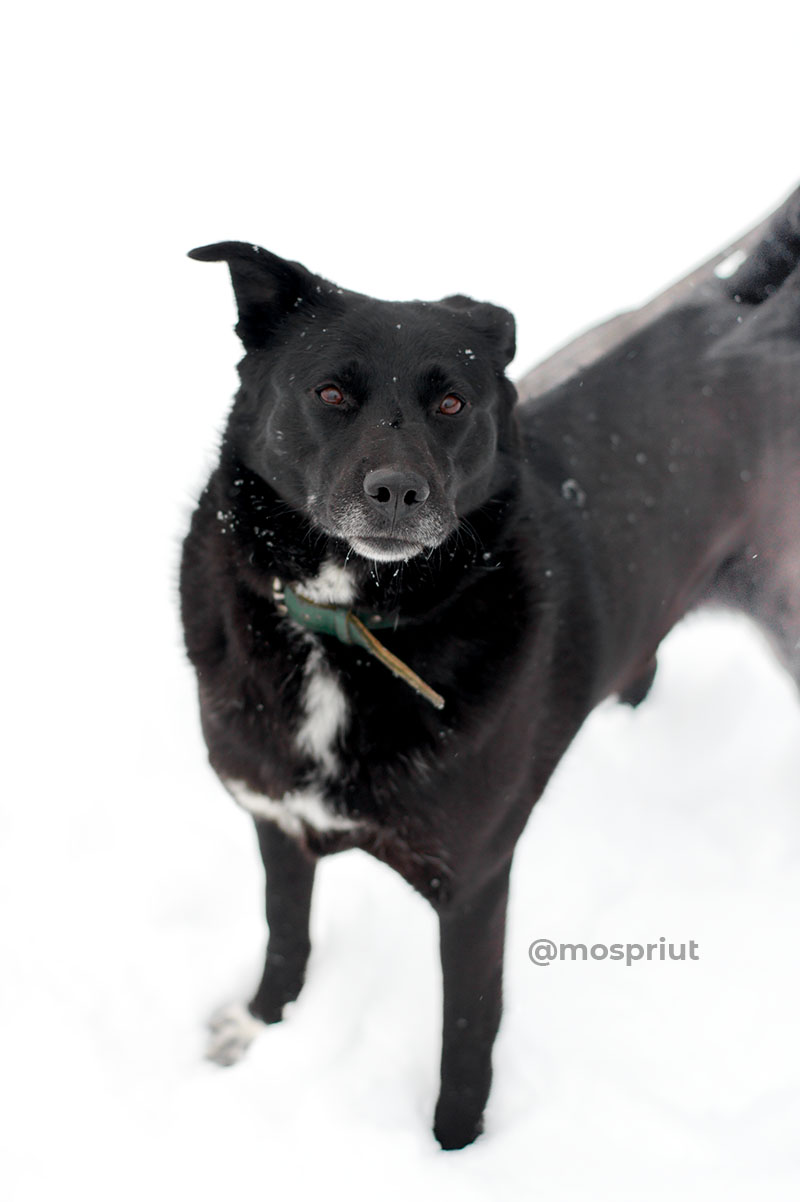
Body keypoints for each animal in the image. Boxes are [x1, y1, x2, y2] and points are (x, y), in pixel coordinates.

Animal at [180, 187, 797, 1144]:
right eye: (330, 392)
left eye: (452, 404)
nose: (400, 492)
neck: (350, 625)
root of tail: (742, 310)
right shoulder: (276, 820)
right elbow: (286, 935)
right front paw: (260, 1025)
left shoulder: (473, 884)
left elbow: (468, 1030)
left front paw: (454, 1148)